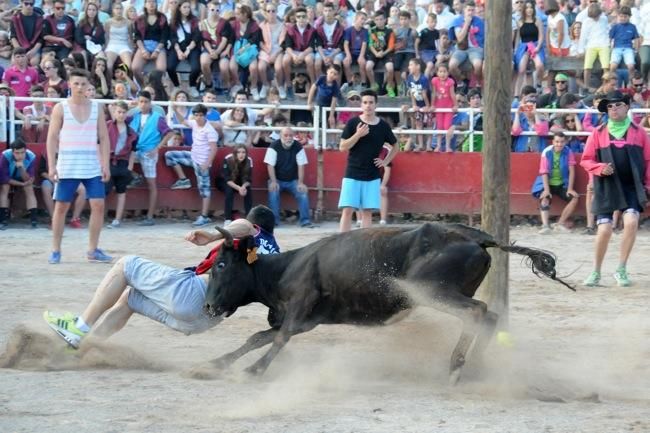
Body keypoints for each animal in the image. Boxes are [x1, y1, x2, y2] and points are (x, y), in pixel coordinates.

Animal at [202, 223, 568, 382]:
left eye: (220, 265)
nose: (206, 308)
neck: (285, 268)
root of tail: (476, 237)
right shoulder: (306, 320)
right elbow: (257, 337)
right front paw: (216, 363)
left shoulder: (298, 310)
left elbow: (278, 338)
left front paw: (254, 369)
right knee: (489, 317)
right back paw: (475, 368)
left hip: (429, 290)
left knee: (477, 312)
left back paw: (455, 366)